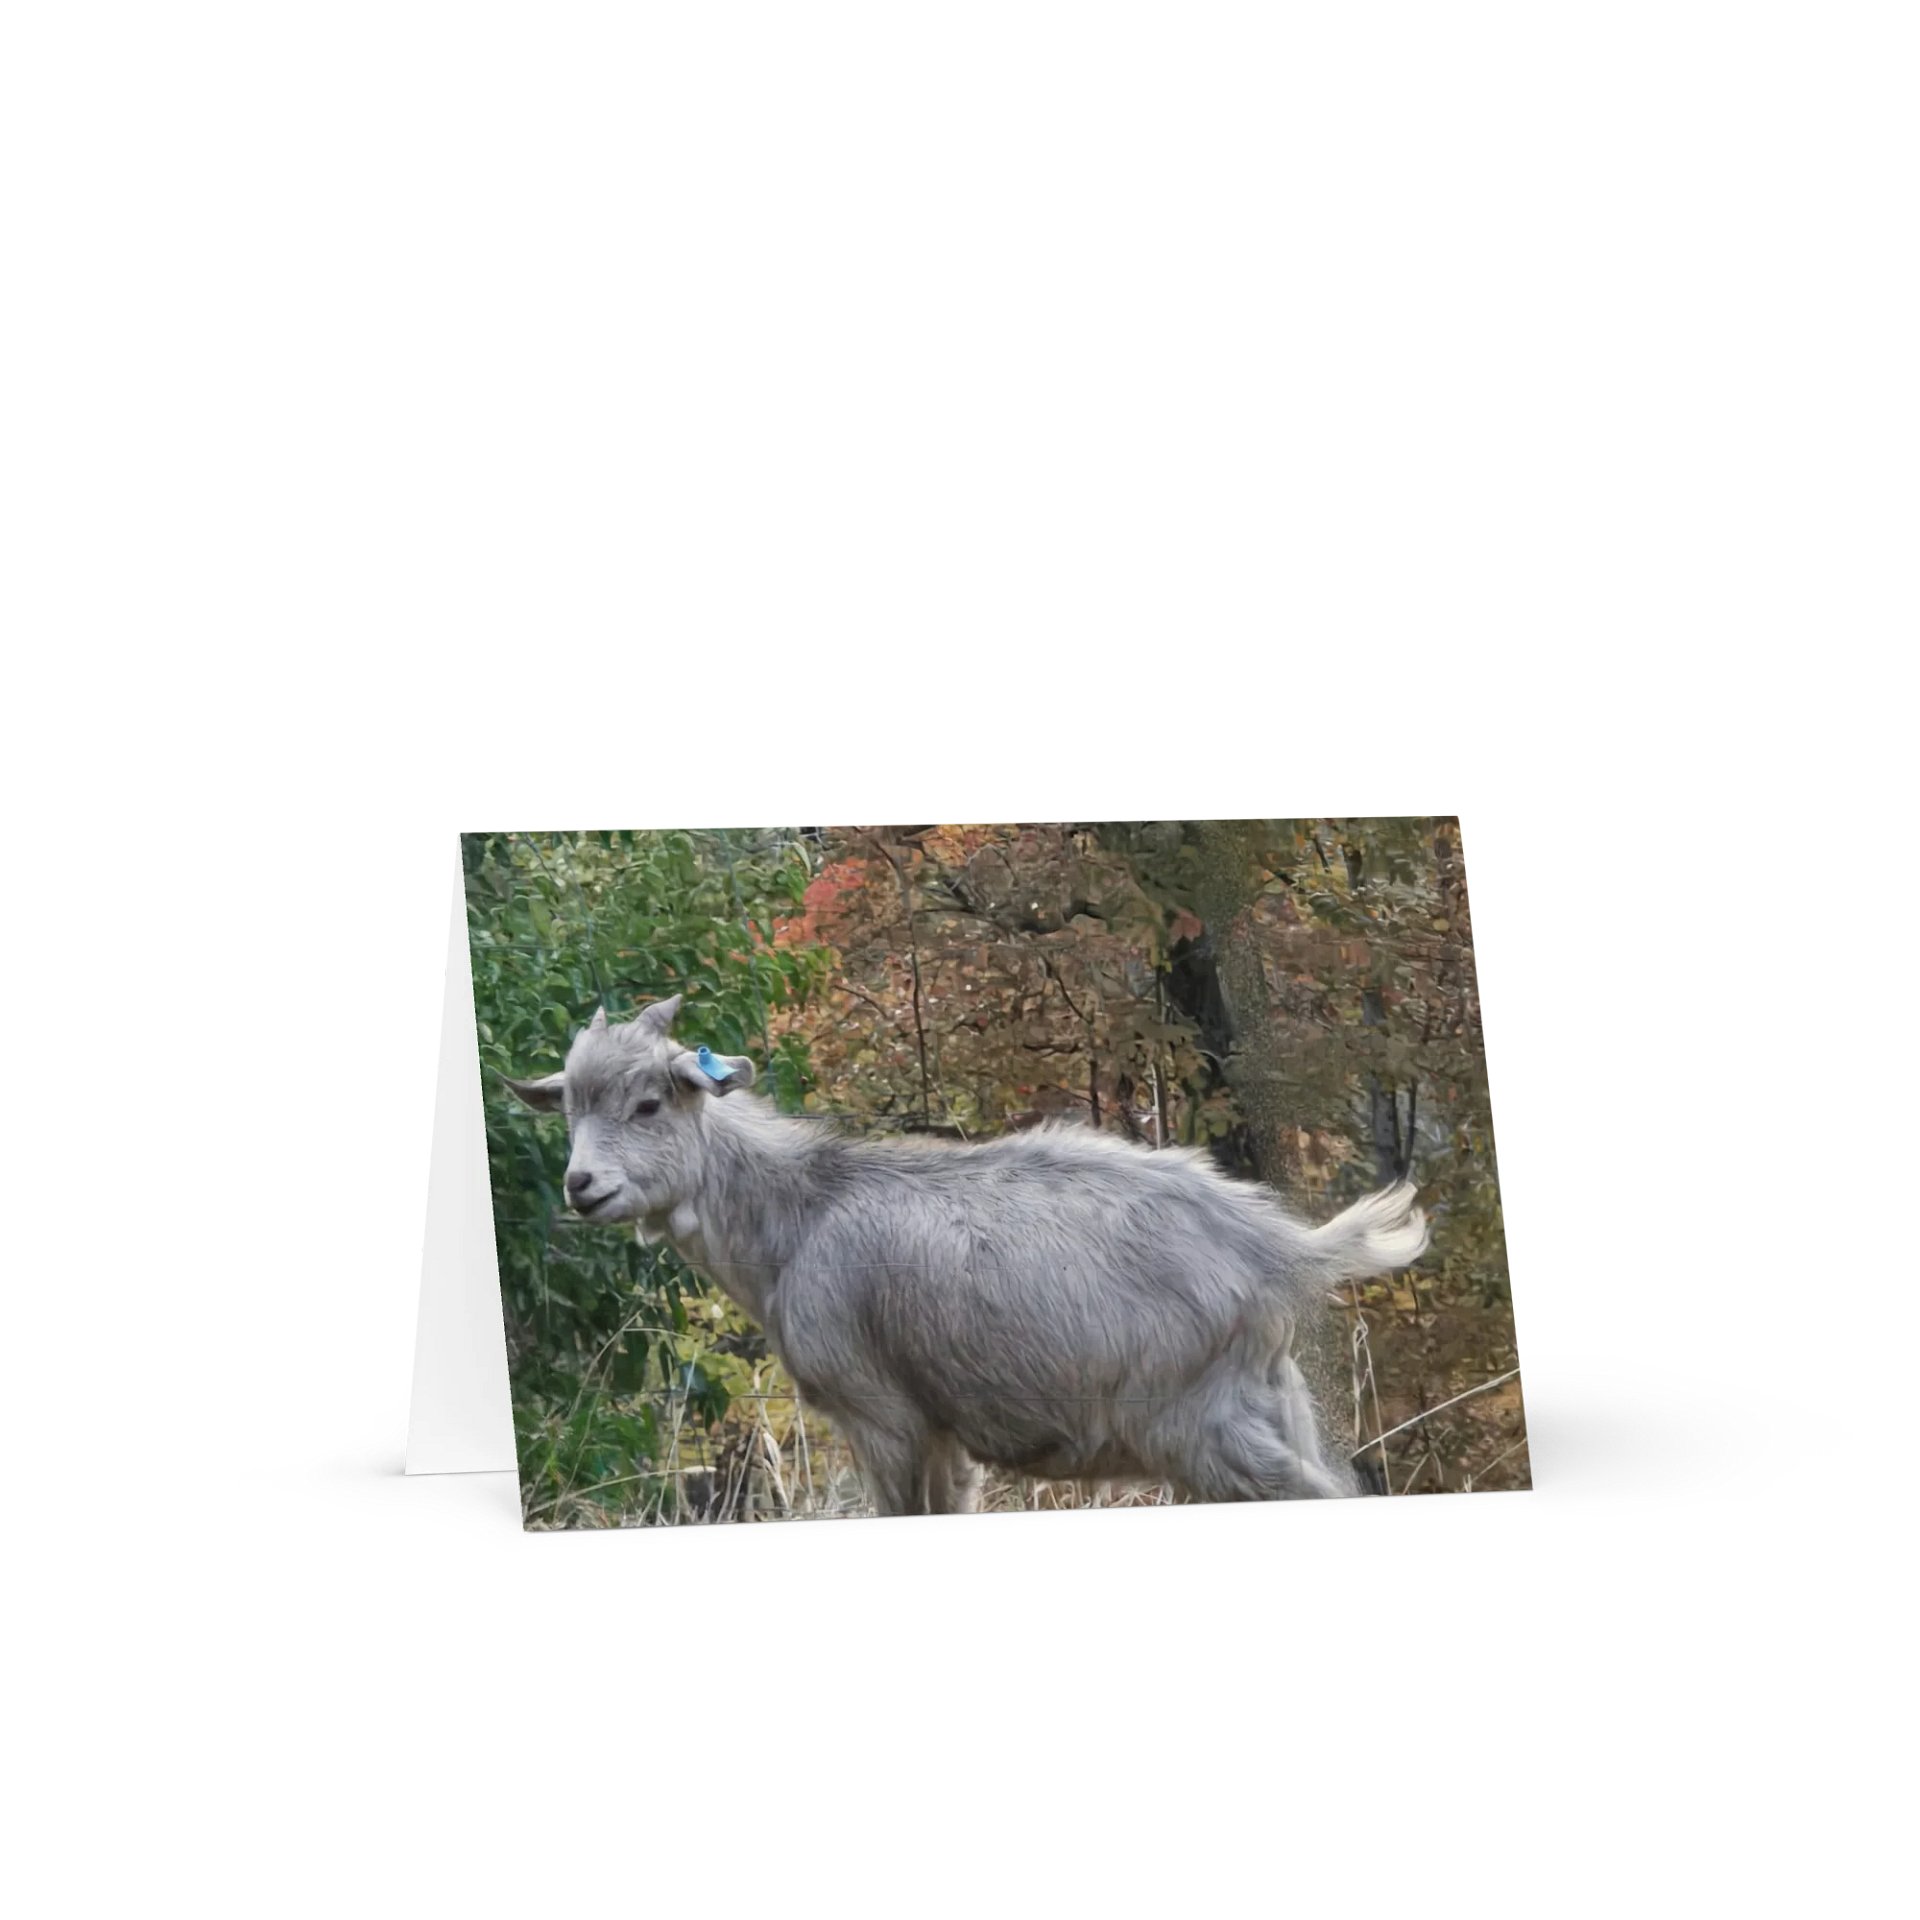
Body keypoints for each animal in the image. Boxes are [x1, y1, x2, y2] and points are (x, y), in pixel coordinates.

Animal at [507, 996, 1428, 1515]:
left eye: (650, 1103)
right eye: (569, 1108)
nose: (582, 1186)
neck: (800, 1212)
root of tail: (1275, 1243)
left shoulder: (882, 1414)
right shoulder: (942, 1427)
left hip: (1202, 1423)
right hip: (1269, 1401)